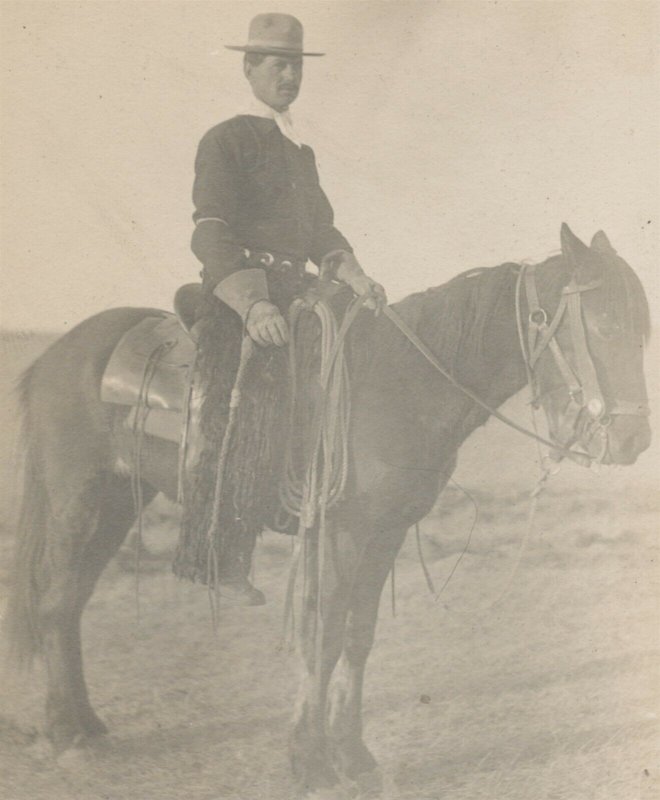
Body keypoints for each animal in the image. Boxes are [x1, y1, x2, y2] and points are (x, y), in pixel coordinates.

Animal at [1, 223, 648, 792]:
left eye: (642, 329)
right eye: (606, 324)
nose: (633, 441)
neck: (401, 382)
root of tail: (56, 353)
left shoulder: (385, 535)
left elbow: (359, 638)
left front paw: (354, 756)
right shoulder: (342, 534)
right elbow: (326, 636)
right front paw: (310, 763)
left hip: (115, 503)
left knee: (72, 603)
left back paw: (86, 723)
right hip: (76, 499)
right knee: (55, 601)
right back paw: (66, 735)